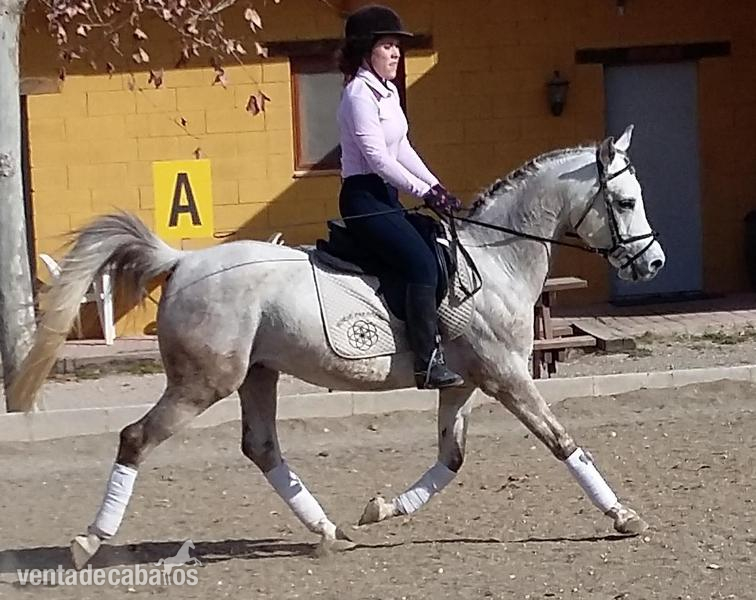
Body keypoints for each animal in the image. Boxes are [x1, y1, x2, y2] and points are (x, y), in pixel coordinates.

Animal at [8, 125, 665, 569]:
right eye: (625, 201)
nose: (653, 263)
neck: (495, 259)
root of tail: (183, 262)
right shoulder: (506, 375)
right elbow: (562, 441)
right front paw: (623, 516)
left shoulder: (466, 382)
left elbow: (451, 459)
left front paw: (381, 509)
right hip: (203, 383)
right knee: (136, 438)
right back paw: (89, 540)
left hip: (258, 376)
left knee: (262, 448)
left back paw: (327, 531)